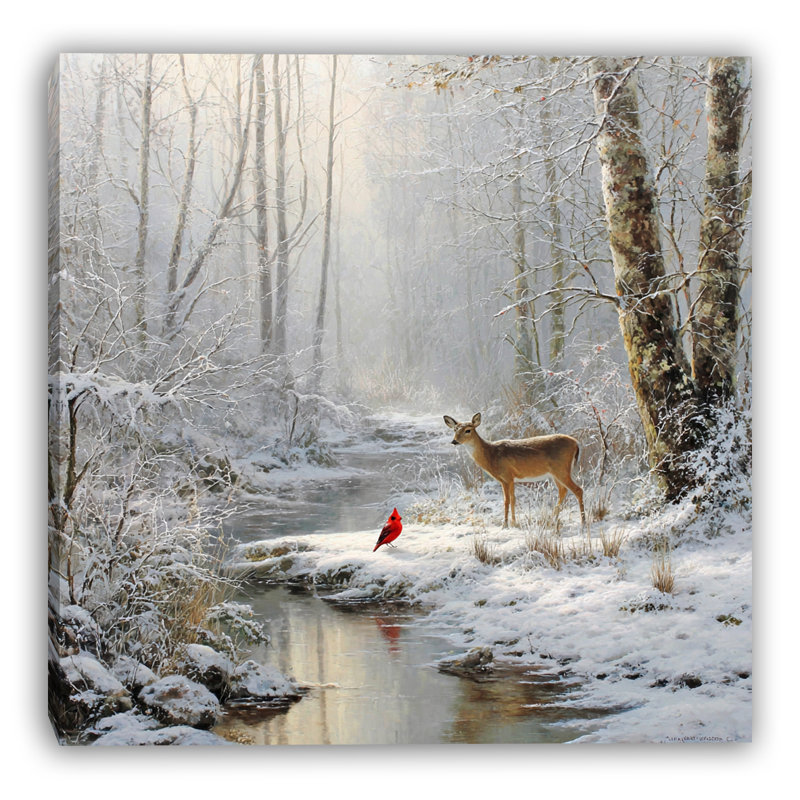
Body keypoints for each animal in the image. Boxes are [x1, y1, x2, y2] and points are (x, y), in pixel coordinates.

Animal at [443, 413, 586, 533]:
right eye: (455, 430)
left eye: (468, 430)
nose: (454, 441)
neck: (491, 455)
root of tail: (576, 443)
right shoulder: (511, 479)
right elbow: (513, 499)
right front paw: (514, 523)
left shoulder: (506, 477)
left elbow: (506, 500)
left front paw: (505, 525)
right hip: (555, 473)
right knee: (563, 491)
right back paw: (552, 520)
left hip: (561, 469)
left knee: (578, 490)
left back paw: (583, 522)